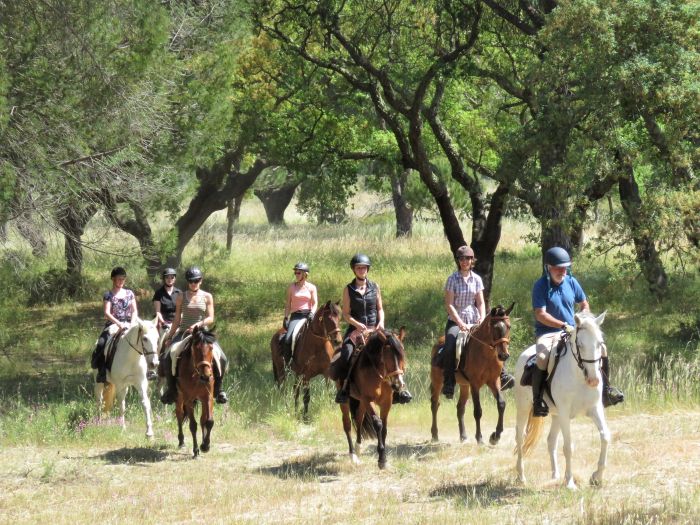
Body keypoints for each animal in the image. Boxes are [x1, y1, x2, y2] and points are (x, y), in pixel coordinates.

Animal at [175, 326, 216, 456]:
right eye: (196, 349)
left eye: (211, 348)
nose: (206, 376)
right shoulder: (188, 399)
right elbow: (193, 425)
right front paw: (196, 449)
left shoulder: (208, 396)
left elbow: (209, 421)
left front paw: (205, 445)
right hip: (179, 397)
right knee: (179, 414)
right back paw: (181, 441)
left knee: (202, 419)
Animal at [340, 330, 410, 468]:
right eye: (386, 356)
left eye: (402, 354)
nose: (398, 384)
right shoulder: (368, 400)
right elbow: (378, 423)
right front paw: (381, 459)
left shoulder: (386, 402)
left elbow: (385, 427)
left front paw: (384, 457)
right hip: (347, 402)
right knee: (347, 424)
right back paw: (353, 455)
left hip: (361, 402)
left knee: (359, 419)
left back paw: (358, 447)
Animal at [430, 300, 512, 444]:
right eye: (495, 328)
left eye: (509, 327)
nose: (503, 355)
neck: (486, 355)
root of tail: (438, 344)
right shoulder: (475, 384)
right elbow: (478, 411)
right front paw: (480, 438)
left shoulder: (493, 381)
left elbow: (501, 404)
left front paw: (495, 436)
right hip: (438, 382)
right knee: (435, 404)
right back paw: (435, 435)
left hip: (464, 385)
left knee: (460, 408)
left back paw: (463, 436)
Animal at [512, 312, 608, 488]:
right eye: (580, 345)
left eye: (600, 344)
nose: (593, 380)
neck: (579, 377)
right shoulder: (565, 413)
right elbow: (568, 447)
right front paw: (569, 482)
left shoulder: (595, 409)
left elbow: (605, 437)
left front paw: (597, 477)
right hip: (524, 408)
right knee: (520, 439)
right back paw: (521, 477)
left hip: (556, 415)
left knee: (551, 441)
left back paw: (555, 476)